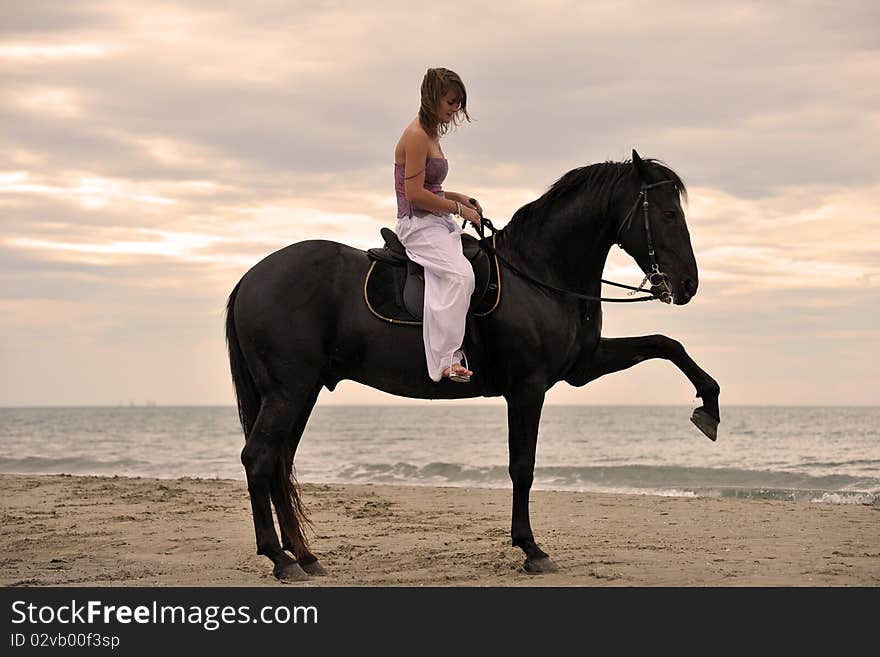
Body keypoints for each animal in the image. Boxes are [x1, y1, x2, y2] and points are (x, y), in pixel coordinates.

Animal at [223, 147, 720, 580]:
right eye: (669, 215)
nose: (688, 284)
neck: (537, 271)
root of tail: (251, 277)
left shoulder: (583, 366)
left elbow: (666, 344)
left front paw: (709, 407)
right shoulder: (527, 387)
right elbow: (523, 466)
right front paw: (531, 548)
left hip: (301, 391)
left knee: (280, 461)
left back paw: (304, 557)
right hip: (288, 391)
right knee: (259, 458)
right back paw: (279, 558)